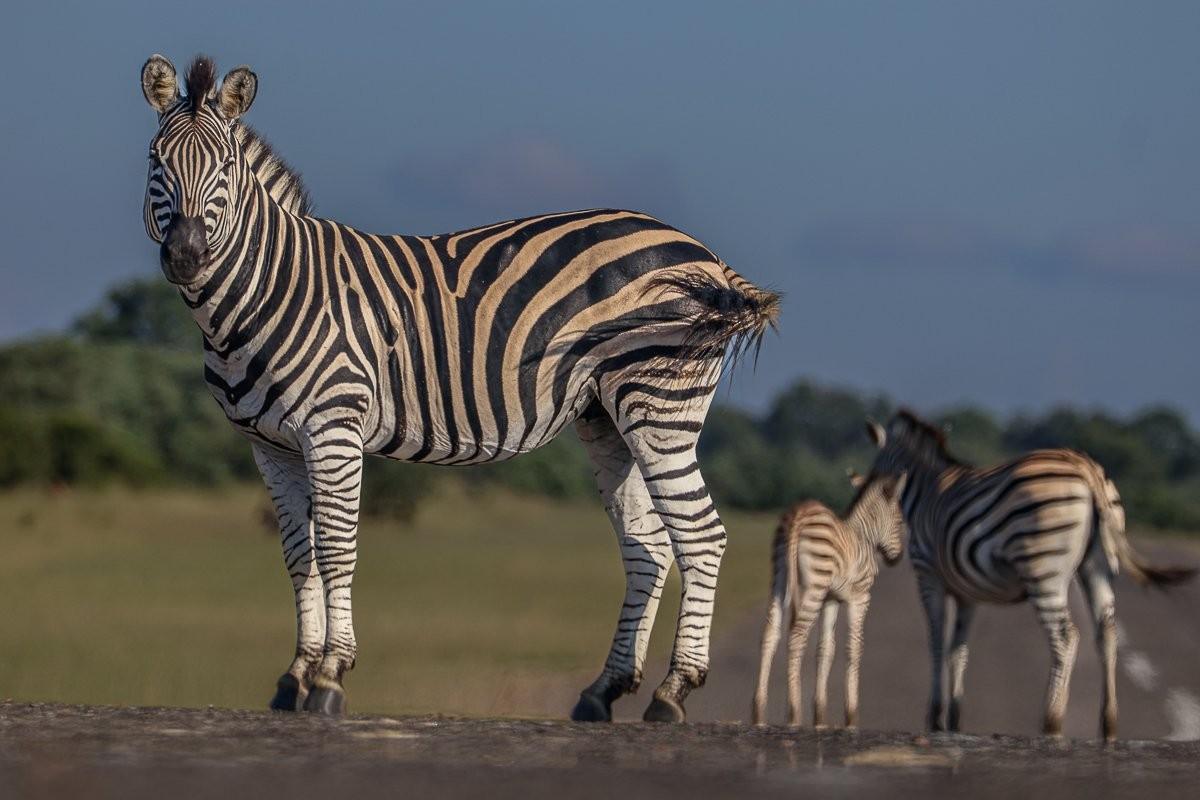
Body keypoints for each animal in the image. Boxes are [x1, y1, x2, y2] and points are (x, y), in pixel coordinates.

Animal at [139, 54, 780, 721]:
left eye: (226, 166)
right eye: (156, 160)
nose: (185, 257)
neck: (269, 291)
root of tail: (706, 257)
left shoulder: (333, 427)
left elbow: (336, 546)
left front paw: (331, 675)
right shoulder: (270, 446)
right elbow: (299, 556)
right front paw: (295, 675)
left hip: (659, 404)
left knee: (701, 536)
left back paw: (673, 690)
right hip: (607, 416)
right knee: (648, 547)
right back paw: (604, 689)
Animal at [751, 470, 908, 728]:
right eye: (900, 522)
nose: (898, 557)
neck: (864, 536)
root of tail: (800, 512)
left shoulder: (831, 599)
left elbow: (825, 648)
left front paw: (820, 716)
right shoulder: (860, 597)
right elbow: (854, 646)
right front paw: (851, 716)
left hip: (779, 577)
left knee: (770, 634)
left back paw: (758, 711)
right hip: (814, 583)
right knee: (796, 636)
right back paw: (793, 714)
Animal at [864, 409, 1195, 740]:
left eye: (876, 470)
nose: (864, 491)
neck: (926, 488)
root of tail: (1085, 467)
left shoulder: (928, 574)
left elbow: (936, 642)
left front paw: (934, 717)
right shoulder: (966, 592)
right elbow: (957, 649)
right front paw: (955, 719)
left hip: (1043, 567)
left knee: (1066, 636)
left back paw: (1052, 721)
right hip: (1097, 567)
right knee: (1107, 632)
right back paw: (1108, 724)